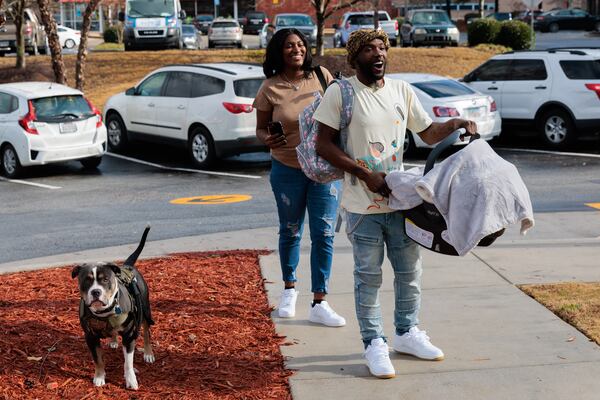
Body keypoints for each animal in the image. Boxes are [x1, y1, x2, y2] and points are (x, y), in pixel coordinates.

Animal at [71, 227, 156, 390]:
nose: (96, 292)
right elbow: (98, 359)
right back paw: (114, 340)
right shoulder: (90, 337)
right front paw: (99, 377)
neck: (104, 313)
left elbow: (128, 363)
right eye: (86, 280)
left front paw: (131, 380)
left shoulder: (129, 335)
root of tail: (128, 266)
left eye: (105, 279)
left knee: (146, 330)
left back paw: (148, 353)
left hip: (145, 310)